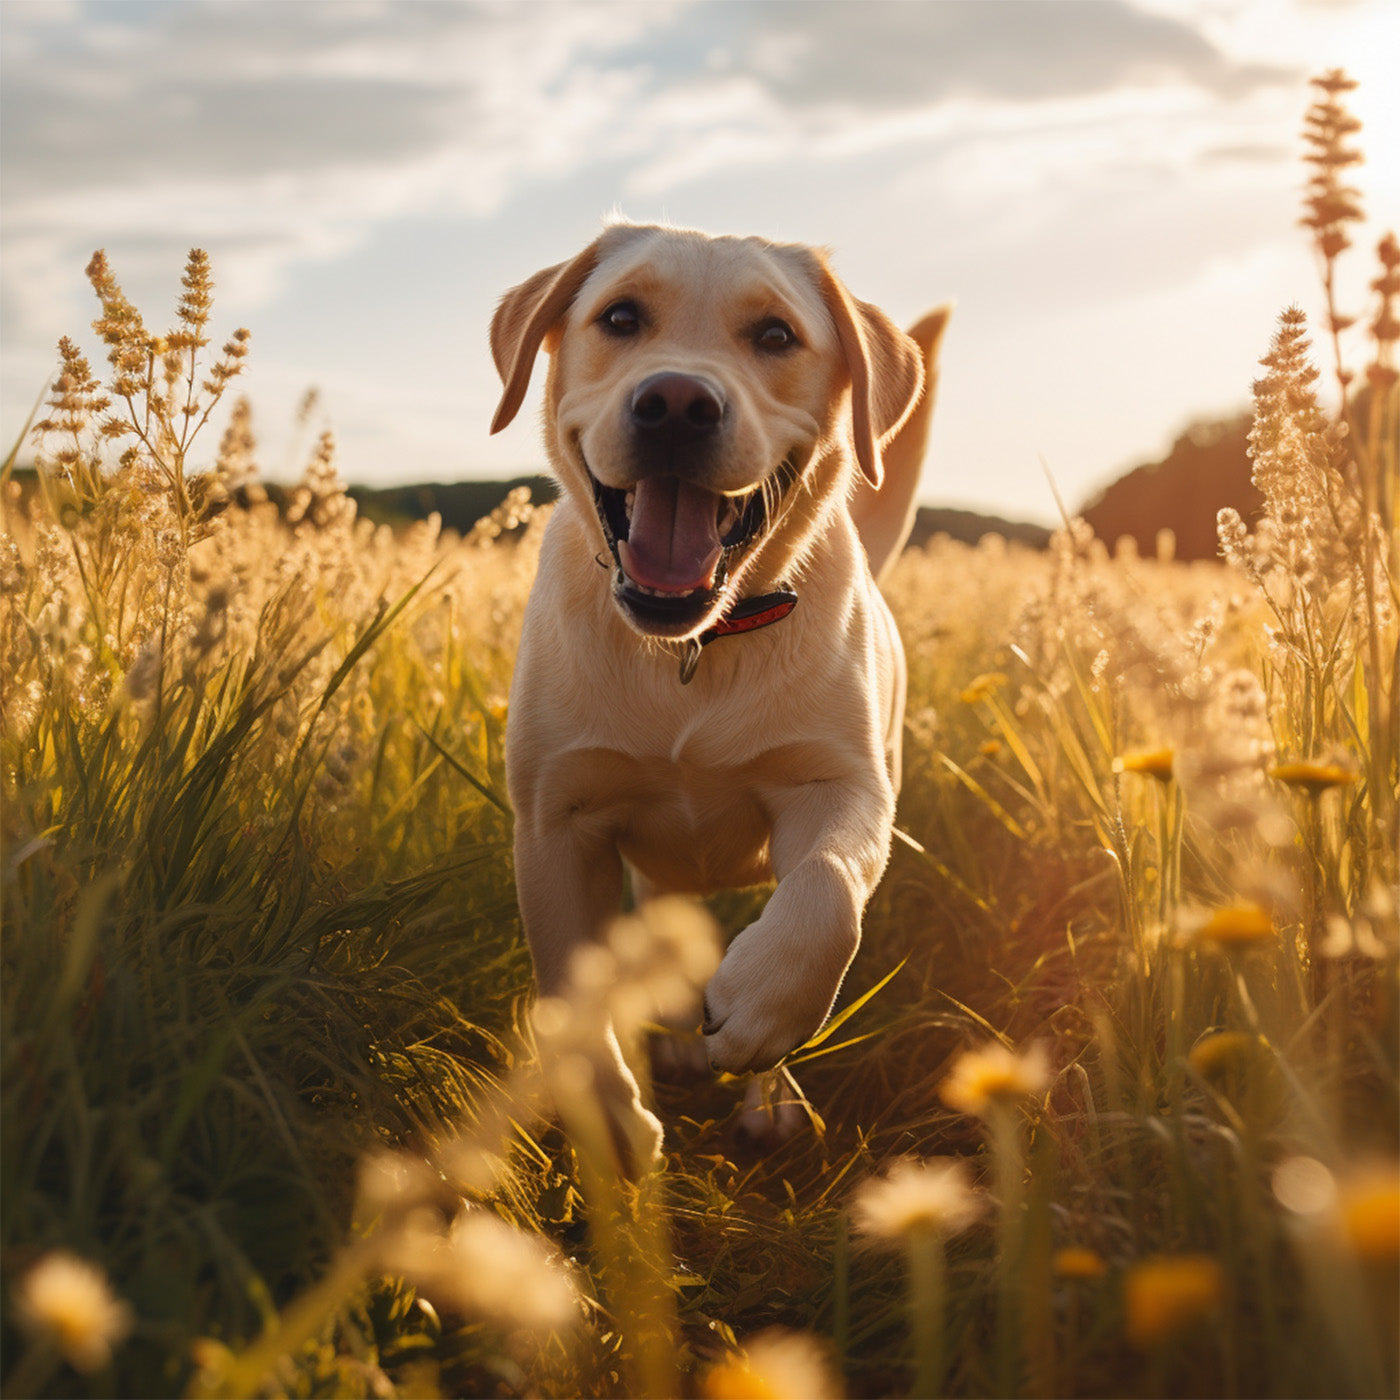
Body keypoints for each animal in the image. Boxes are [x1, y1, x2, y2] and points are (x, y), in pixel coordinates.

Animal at [487, 221, 946, 1170]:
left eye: (775, 334)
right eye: (621, 317)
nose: (675, 403)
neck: (691, 649)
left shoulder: (841, 786)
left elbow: (829, 888)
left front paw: (764, 1004)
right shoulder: (556, 824)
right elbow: (575, 995)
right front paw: (615, 1129)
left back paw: (769, 1093)